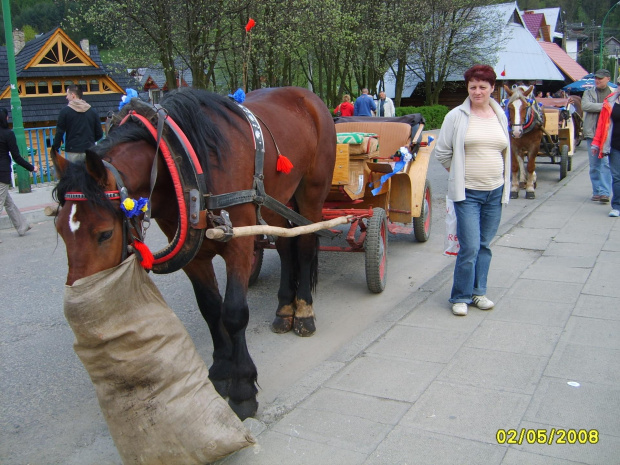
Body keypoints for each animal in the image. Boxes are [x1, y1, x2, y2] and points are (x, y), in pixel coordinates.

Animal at [50, 86, 336, 416]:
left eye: (105, 233)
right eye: (59, 228)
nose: (78, 308)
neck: (184, 161)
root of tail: (306, 96)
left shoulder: (239, 244)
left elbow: (234, 312)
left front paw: (243, 387)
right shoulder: (194, 255)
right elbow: (210, 308)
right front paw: (221, 371)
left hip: (311, 194)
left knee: (305, 245)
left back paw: (303, 311)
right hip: (275, 200)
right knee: (287, 243)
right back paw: (285, 309)